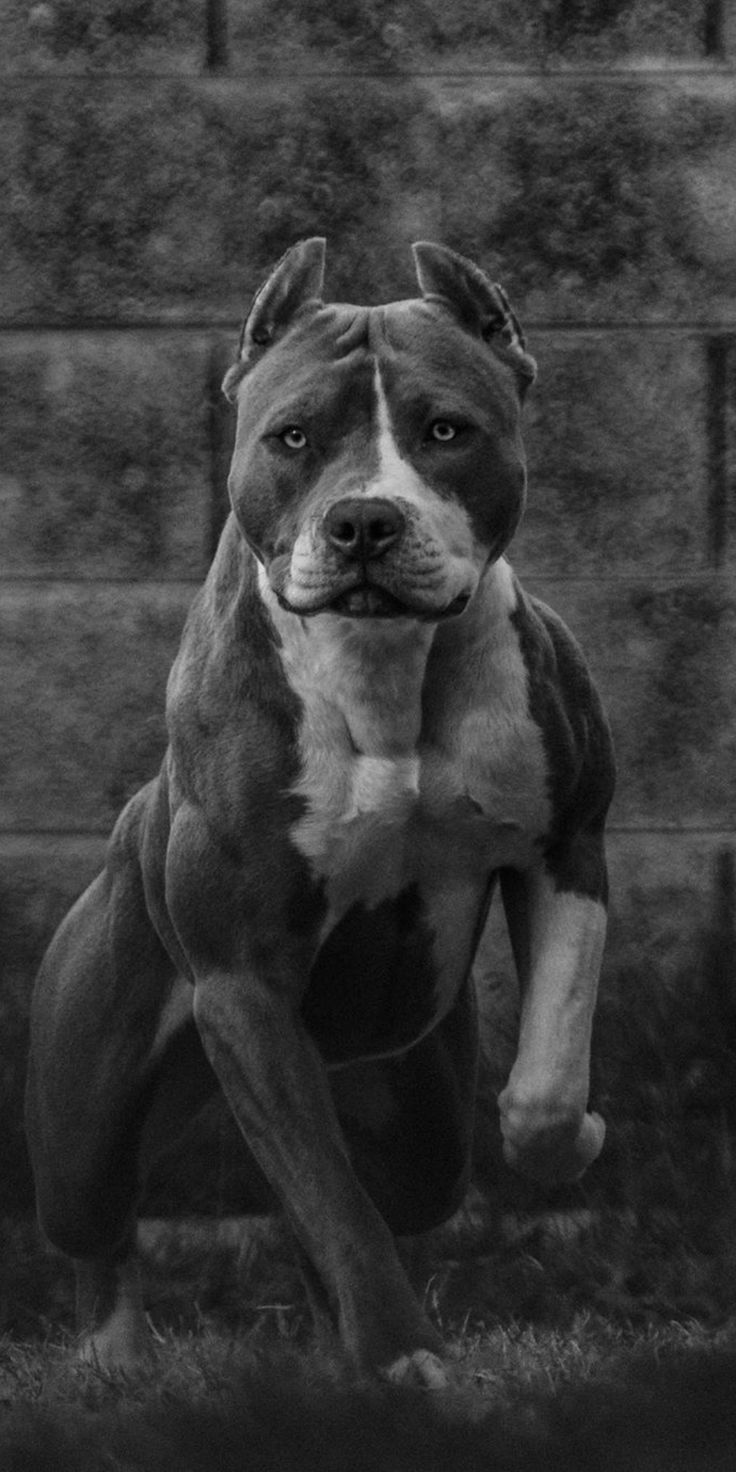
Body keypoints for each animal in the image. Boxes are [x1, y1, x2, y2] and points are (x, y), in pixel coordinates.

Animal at [25, 238, 615, 1377]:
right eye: (291, 436)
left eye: (445, 431)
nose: (364, 520)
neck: (381, 666)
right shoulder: (244, 986)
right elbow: (333, 1209)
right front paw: (403, 1356)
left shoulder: (564, 843)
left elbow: (546, 1077)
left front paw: (568, 1141)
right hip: (90, 1111)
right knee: (100, 1220)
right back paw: (117, 1356)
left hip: (410, 1103)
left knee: (394, 1186)